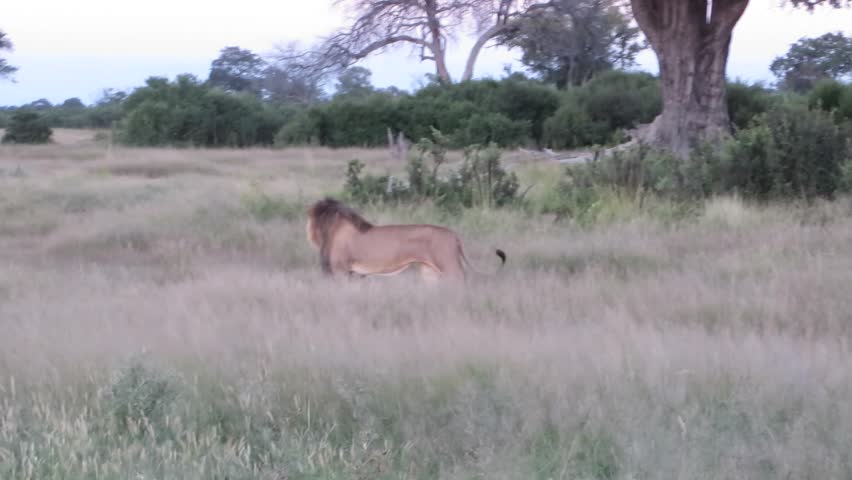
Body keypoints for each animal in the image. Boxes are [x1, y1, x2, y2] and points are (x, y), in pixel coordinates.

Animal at [305, 197, 506, 282]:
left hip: (450, 268)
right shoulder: (355, 274)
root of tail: (454, 235)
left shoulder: (340, 271)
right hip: (429, 272)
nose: (308, 231)